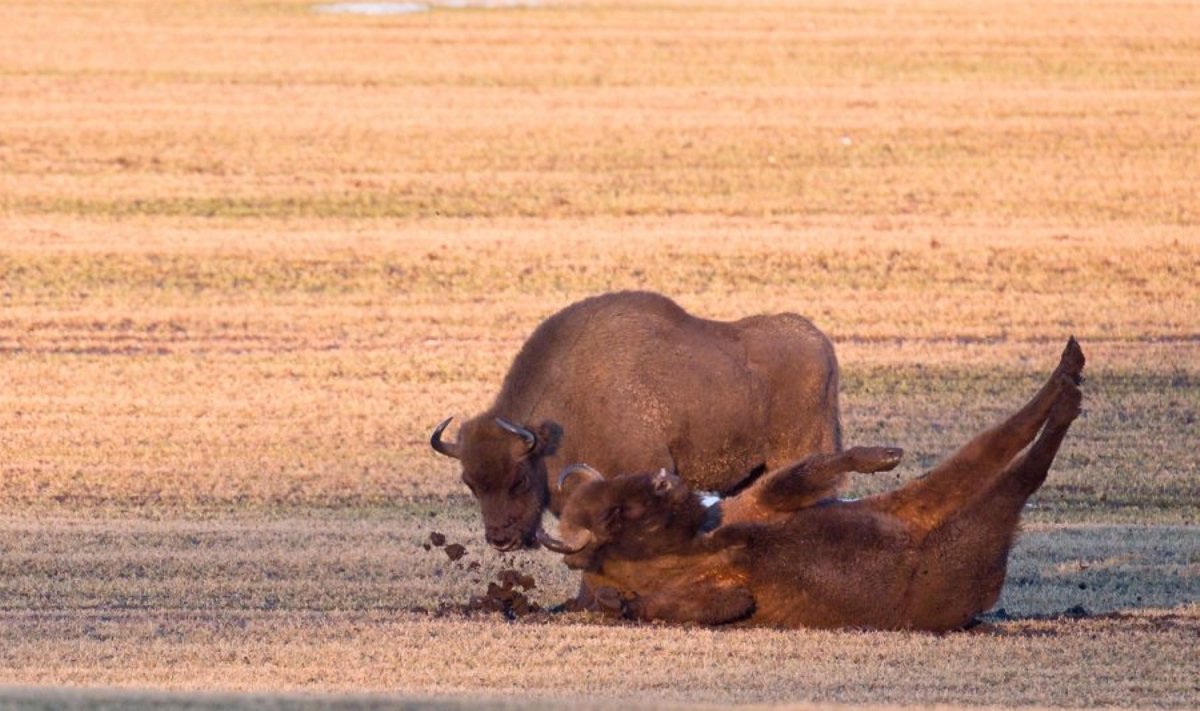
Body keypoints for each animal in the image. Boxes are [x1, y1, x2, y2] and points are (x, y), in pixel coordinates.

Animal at [544, 336, 1089, 629]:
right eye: (614, 513)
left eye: (621, 491)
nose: (664, 482)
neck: (698, 544)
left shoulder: (759, 503)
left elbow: (809, 471)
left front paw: (882, 457)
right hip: (960, 506)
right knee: (1018, 462)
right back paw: (1067, 388)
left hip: (915, 501)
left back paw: (1070, 372)